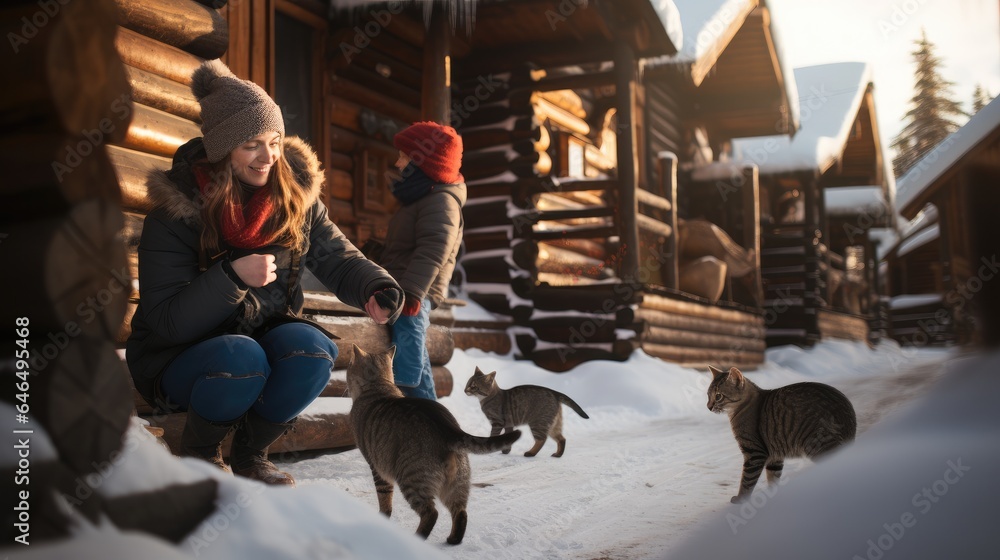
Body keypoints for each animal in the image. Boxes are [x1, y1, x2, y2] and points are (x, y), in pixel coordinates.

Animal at [346, 344, 520, 544]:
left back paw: (417, 538)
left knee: (431, 513)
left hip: (412, 480)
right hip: (457, 484)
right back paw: (453, 540)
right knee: (461, 512)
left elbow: (385, 500)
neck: (379, 385)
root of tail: (449, 429)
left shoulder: (377, 467)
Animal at [708, 364, 856, 504]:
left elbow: (747, 480)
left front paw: (740, 499)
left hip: (819, 445)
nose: (708, 407)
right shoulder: (774, 457)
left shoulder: (754, 453)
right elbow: (772, 479)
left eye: (718, 396)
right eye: (708, 395)